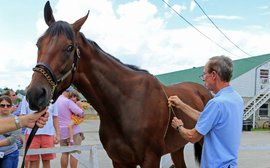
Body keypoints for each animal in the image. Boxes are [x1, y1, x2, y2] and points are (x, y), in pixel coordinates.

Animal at [25, 1, 212, 167]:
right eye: (38, 43)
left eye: (70, 47)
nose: (35, 94)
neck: (126, 104)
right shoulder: (119, 161)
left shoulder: (151, 159)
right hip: (177, 148)